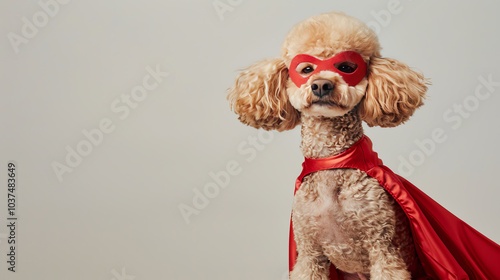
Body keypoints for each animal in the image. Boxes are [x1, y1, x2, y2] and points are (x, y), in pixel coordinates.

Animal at [229, 10, 500, 280]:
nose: (321, 84)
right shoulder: (309, 253)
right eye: (306, 69)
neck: (332, 162)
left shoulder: (383, 247)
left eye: (346, 67)